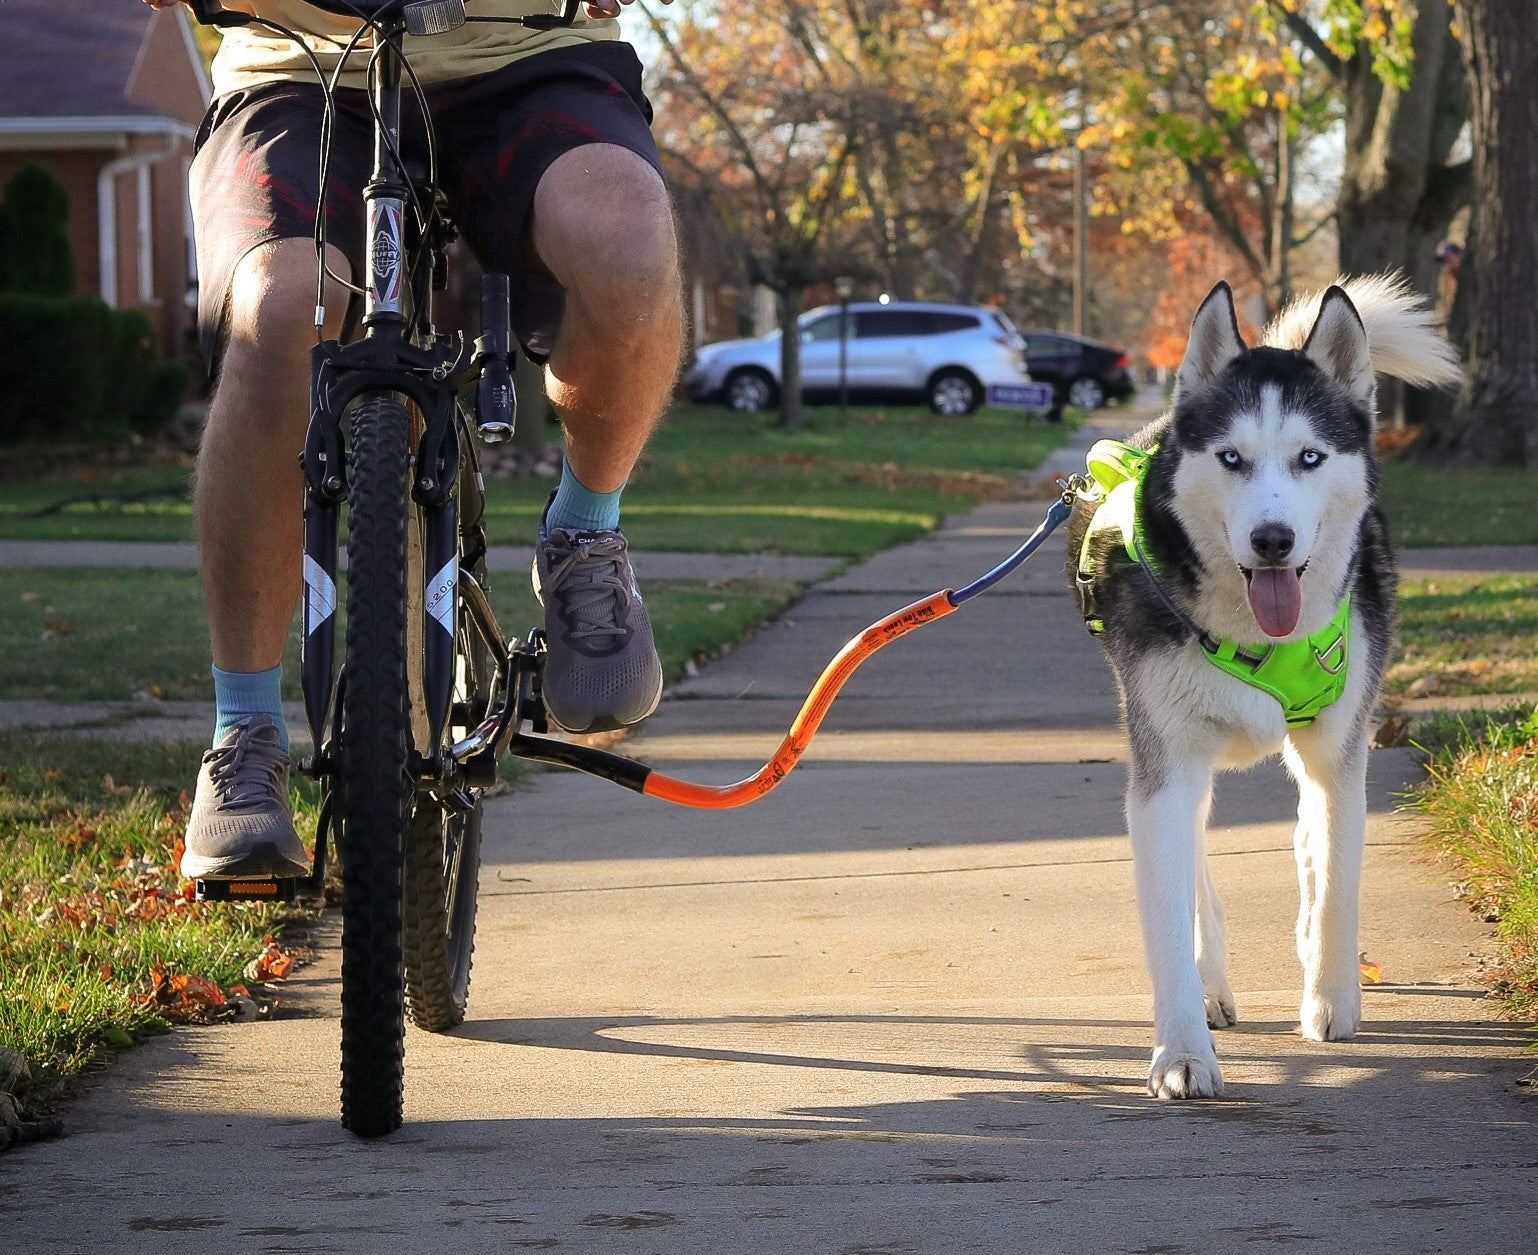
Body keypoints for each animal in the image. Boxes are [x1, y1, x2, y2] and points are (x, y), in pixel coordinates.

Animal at [1070, 273, 1464, 1095]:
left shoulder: (1340, 755)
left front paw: (1332, 996)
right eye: (1231, 457)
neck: (1260, 636)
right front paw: (1182, 1050)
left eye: (1310, 457)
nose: (1273, 541)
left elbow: (1339, 877)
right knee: (1201, 864)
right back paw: (1213, 985)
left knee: (1310, 846)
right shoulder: (1165, 769)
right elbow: (1170, 913)